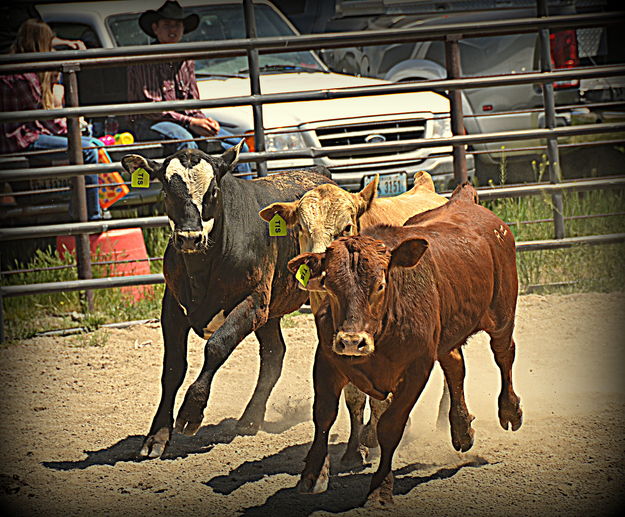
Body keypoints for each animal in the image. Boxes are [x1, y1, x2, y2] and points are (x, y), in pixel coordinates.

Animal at [288, 183, 520, 506]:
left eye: (380, 285)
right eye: (330, 288)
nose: (351, 342)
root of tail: (464, 201)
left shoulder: (416, 369)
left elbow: (390, 425)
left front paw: (380, 489)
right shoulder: (327, 359)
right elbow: (324, 414)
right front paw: (312, 474)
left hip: (502, 313)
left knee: (503, 354)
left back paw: (509, 411)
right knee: (455, 366)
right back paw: (461, 429)